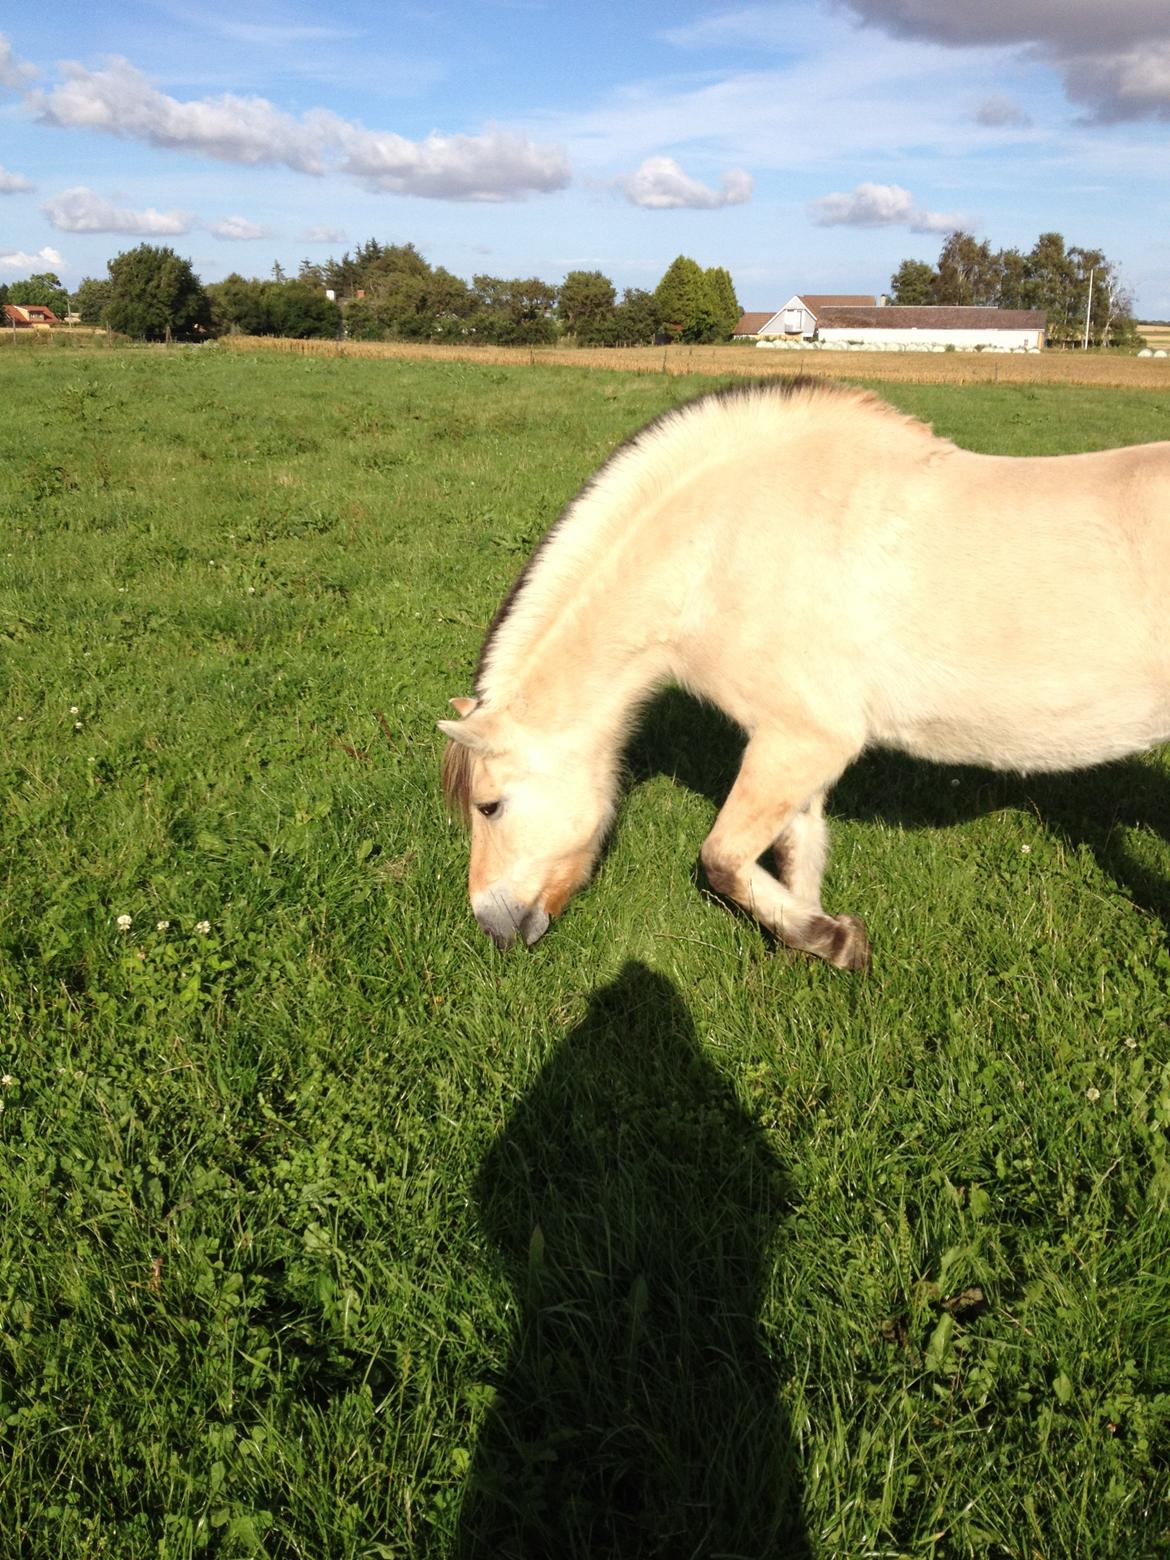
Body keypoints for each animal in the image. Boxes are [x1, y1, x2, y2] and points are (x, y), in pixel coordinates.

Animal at [439, 380, 1170, 960]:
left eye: (489, 805)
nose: (491, 925)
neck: (717, 549)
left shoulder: (804, 740)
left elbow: (723, 859)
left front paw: (834, 941)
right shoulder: (793, 747)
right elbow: (799, 850)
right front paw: (809, 936)